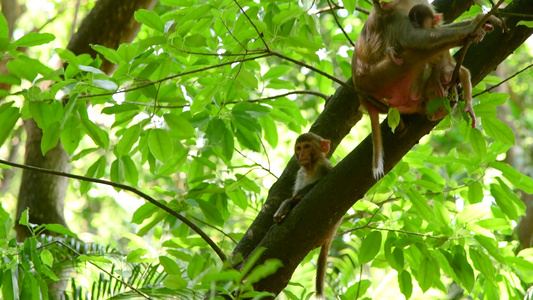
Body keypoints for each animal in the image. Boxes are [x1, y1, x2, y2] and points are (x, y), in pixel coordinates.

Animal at [272, 132, 338, 298]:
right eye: (299, 148)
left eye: (307, 146)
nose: (301, 154)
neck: (310, 168)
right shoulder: (300, 173)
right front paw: (285, 207)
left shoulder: (326, 166)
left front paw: (298, 196)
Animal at [352, 0, 500, 178]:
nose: (383, 3)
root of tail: (362, 97)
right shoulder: (394, 17)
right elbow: (414, 39)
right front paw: (471, 28)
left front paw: (480, 20)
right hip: (380, 76)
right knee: (419, 51)